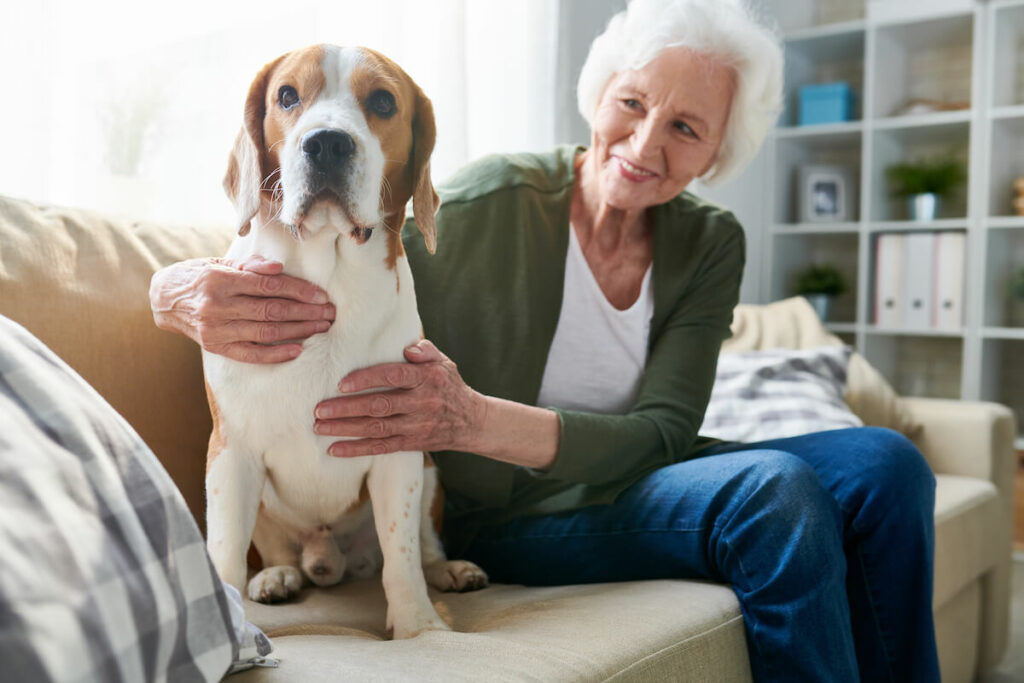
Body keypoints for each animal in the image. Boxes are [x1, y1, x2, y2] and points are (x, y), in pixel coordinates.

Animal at [203, 45, 487, 638]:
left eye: (382, 102)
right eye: (287, 95)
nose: (327, 143)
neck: (329, 278)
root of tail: (326, 555)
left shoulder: (400, 448)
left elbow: (401, 557)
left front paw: (419, 627)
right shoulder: (231, 453)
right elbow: (226, 554)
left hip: (431, 469)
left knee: (422, 546)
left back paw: (448, 570)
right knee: (272, 552)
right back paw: (279, 576)